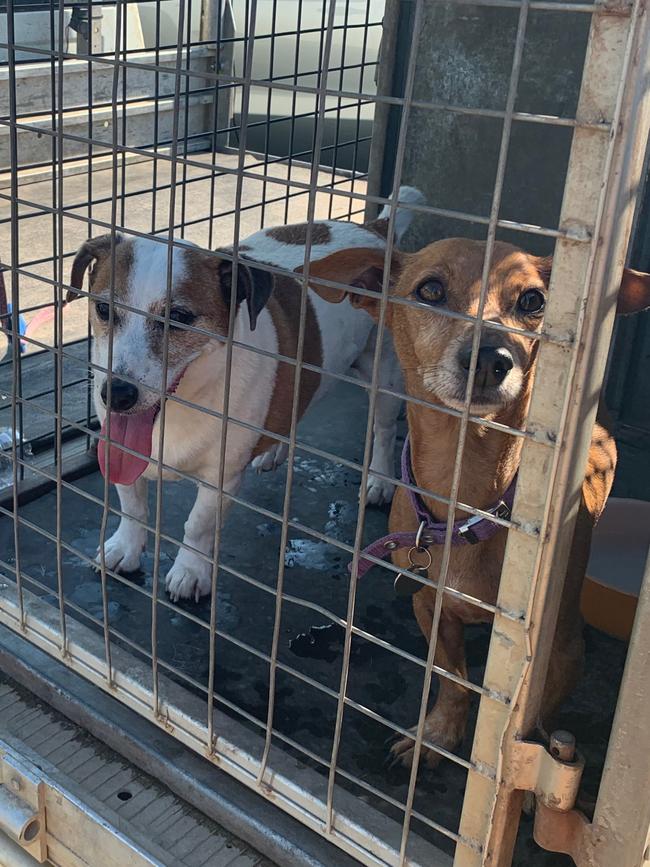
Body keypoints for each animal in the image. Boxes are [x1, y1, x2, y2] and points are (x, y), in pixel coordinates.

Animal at [66, 186, 420, 600]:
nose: (118, 394)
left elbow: (198, 525)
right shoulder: (120, 448)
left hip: (385, 374)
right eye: (104, 309)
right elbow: (132, 505)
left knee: (383, 429)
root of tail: (376, 229)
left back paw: (379, 479)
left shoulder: (221, 478)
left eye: (180, 317)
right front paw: (125, 548)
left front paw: (190, 571)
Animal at [304, 237, 648, 768]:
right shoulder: (430, 606)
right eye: (429, 290)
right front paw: (439, 734)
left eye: (533, 300)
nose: (491, 357)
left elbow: (530, 723)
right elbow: (455, 681)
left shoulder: (564, 650)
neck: (466, 501)